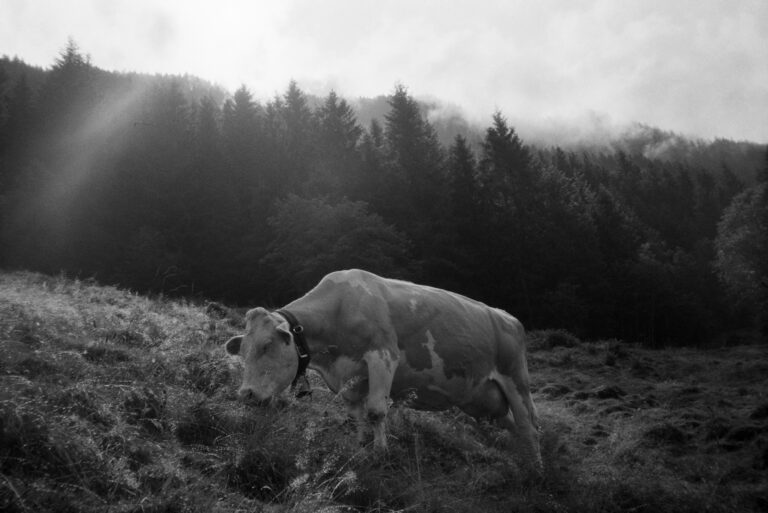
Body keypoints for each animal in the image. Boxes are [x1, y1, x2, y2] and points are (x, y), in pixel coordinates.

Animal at [225, 269, 542, 470]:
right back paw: (521, 463)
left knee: (528, 425)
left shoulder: (383, 356)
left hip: (516, 380)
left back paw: (535, 471)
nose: (246, 395)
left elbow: (376, 411)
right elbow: (356, 415)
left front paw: (380, 454)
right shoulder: (350, 377)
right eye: (242, 351)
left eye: (267, 345)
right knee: (515, 428)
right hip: (485, 401)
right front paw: (359, 448)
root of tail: (508, 317)